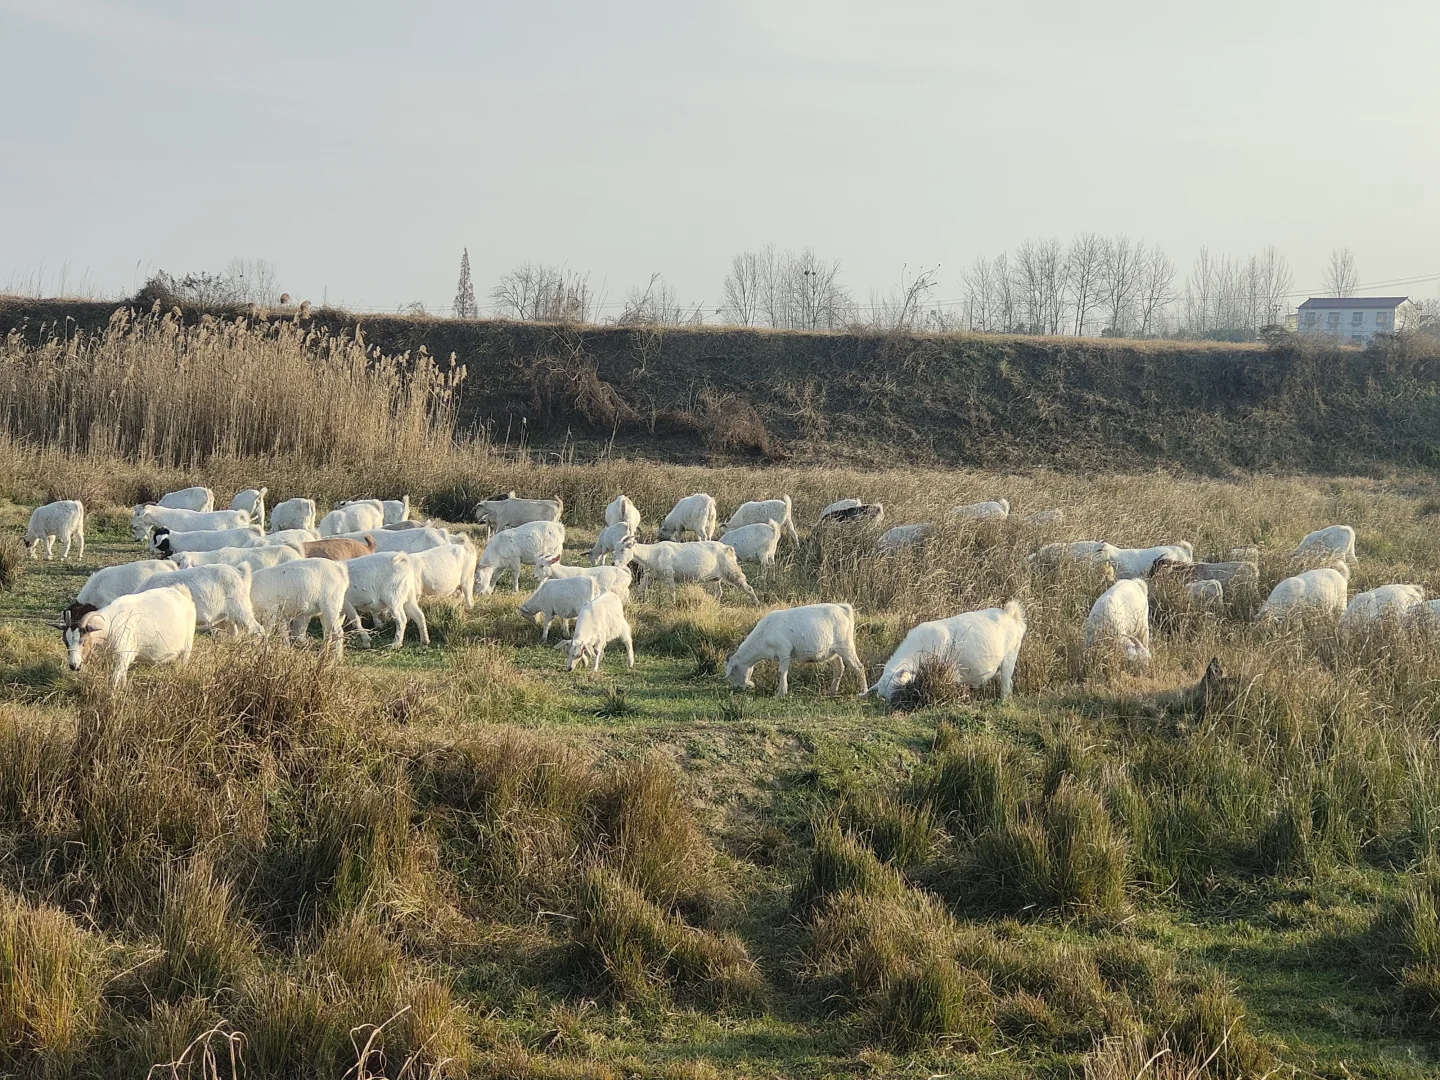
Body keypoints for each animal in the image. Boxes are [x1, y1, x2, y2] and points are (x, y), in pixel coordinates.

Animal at [613, 538, 760, 604]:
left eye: (623, 549)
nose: (613, 563)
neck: (652, 553)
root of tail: (728, 548)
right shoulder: (651, 575)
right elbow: (641, 587)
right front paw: (635, 600)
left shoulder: (669, 575)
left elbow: (671, 591)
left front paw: (672, 603)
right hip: (715, 578)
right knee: (719, 592)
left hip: (732, 571)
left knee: (748, 587)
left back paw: (757, 603)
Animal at [725, 604, 858, 696]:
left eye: (732, 673)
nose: (737, 689)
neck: (763, 635)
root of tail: (843, 609)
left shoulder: (784, 651)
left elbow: (782, 671)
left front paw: (781, 692)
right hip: (834, 651)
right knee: (839, 668)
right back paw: (832, 691)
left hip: (846, 646)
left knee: (858, 667)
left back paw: (862, 692)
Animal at [864, 604, 1025, 705]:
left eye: (899, 688)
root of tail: (1011, 615)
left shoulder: (952, 673)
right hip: (998, 667)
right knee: (1009, 683)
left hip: (1010, 657)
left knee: (1005, 684)